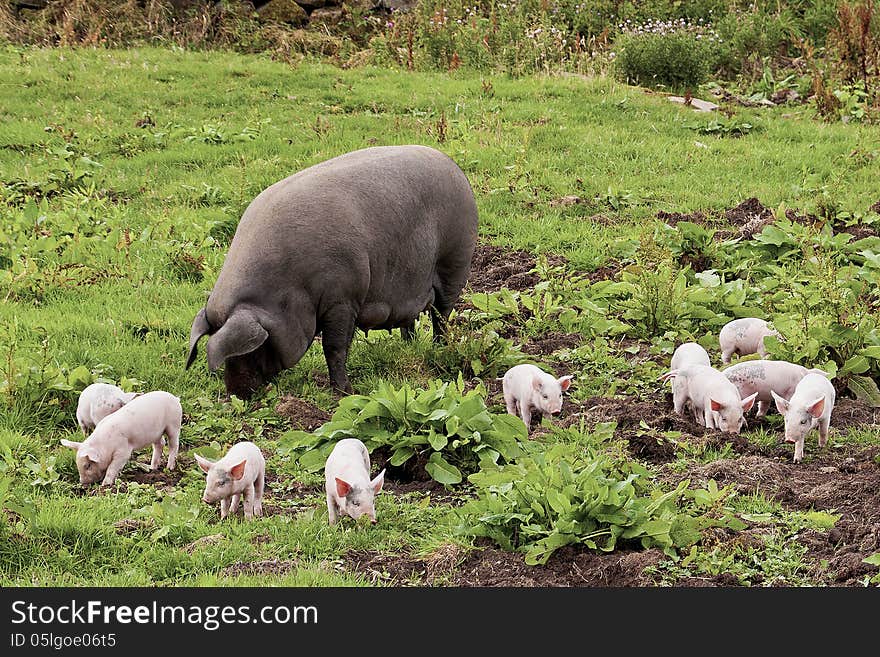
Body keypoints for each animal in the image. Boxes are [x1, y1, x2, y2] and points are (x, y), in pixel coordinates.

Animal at [181, 146, 478, 398]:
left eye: (250, 350)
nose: (236, 395)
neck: (289, 287)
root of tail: (452, 166)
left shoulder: (343, 299)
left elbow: (334, 347)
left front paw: (345, 393)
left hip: (455, 261)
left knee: (442, 314)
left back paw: (440, 349)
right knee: (411, 319)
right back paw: (409, 346)